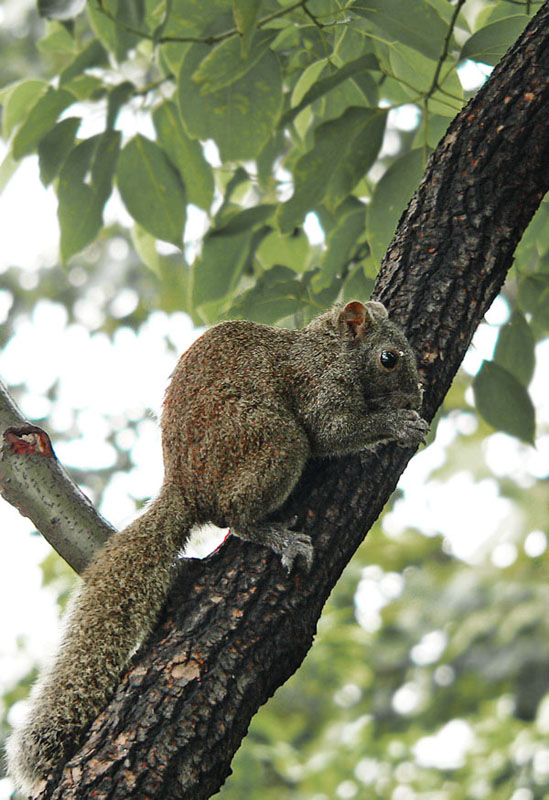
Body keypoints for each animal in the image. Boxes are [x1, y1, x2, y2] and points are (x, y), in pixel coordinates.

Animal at [5, 302, 428, 792]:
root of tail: (186, 489)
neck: (328, 346)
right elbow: (330, 429)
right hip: (272, 440)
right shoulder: (319, 383)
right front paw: (396, 423)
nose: (415, 397)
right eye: (389, 358)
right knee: (237, 514)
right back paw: (274, 535)